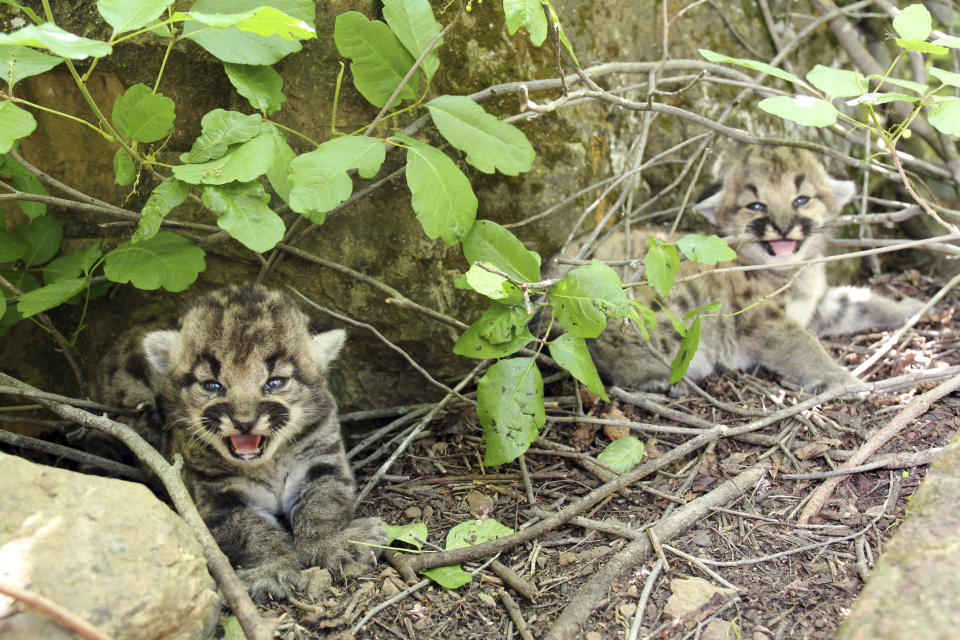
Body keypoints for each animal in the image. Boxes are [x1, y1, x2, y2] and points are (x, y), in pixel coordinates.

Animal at [564, 147, 924, 392]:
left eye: (801, 200)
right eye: (756, 206)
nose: (783, 227)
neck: (792, 272)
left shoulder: (816, 305)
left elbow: (859, 301)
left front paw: (910, 308)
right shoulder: (759, 318)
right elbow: (803, 345)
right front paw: (842, 380)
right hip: (662, 298)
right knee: (608, 341)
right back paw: (657, 375)